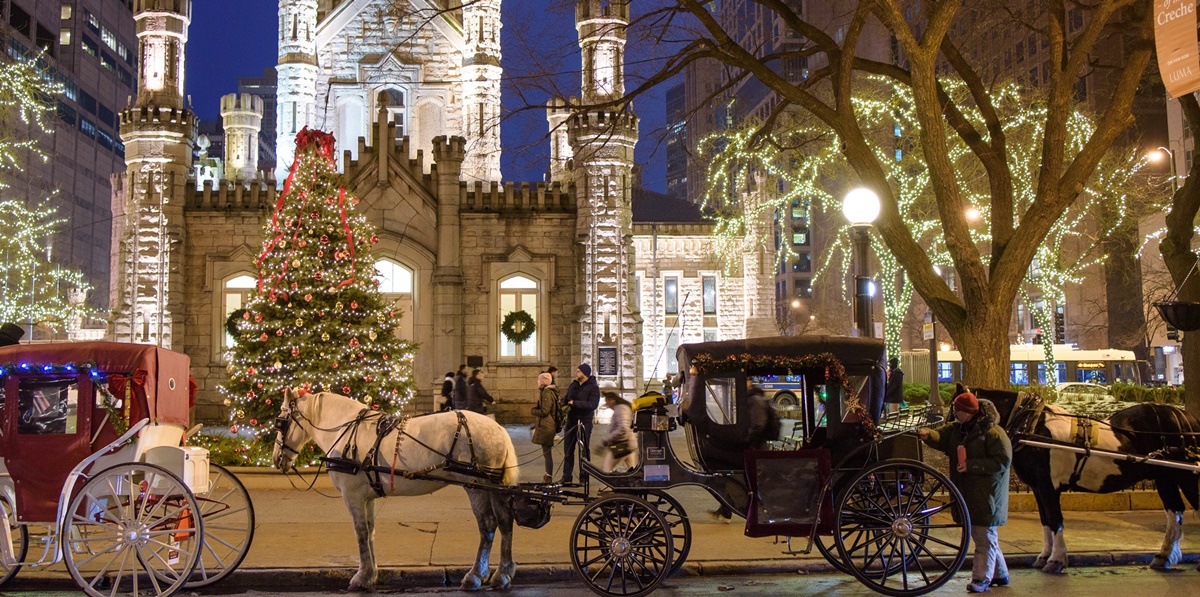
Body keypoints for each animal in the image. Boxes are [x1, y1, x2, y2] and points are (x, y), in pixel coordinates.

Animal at [274, 388, 523, 589]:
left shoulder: (352, 495)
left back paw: (475, 575)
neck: (346, 433)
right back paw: (503, 573)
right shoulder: (367, 497)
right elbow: (370, 531)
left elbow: (360, 532)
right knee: (505, 521)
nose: (277, 459)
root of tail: (497, 428)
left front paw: (362, 577)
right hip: (494, 486)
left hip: (475, 486)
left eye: (281, 421)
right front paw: (371, 573)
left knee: (488, 524)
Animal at [974, 383, 1200, 575]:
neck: (1031, 426)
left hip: (1185, 476)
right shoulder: (1038, 488)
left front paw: (1056, 559)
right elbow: (1045, 520)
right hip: (1165, 477)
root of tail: (1184, 415)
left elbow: (1054, 520)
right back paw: (1164, 556)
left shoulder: (1048, 486)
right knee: (1174, 511)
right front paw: (1044, 556)